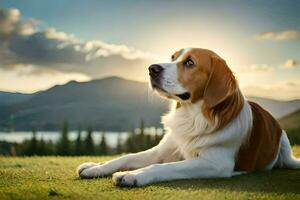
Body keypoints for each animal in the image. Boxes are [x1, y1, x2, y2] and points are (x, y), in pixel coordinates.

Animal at [78, 47, 300, 187]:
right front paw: (95, 167)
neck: (193, 116)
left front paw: (131, 175)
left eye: (190, 62)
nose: (151, 68)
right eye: (173, 56)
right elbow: (127, 156)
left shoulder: (215, 163)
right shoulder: (163, 150)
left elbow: (164, 167)